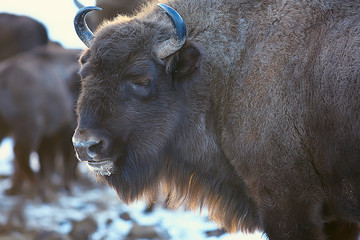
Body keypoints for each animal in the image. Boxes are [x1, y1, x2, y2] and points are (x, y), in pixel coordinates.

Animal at [0, 43, 81, 201]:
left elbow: (48, 163)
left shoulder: (49, 137)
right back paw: (39, 188)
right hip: (29, 130)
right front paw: (66, 186)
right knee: (21, 154)